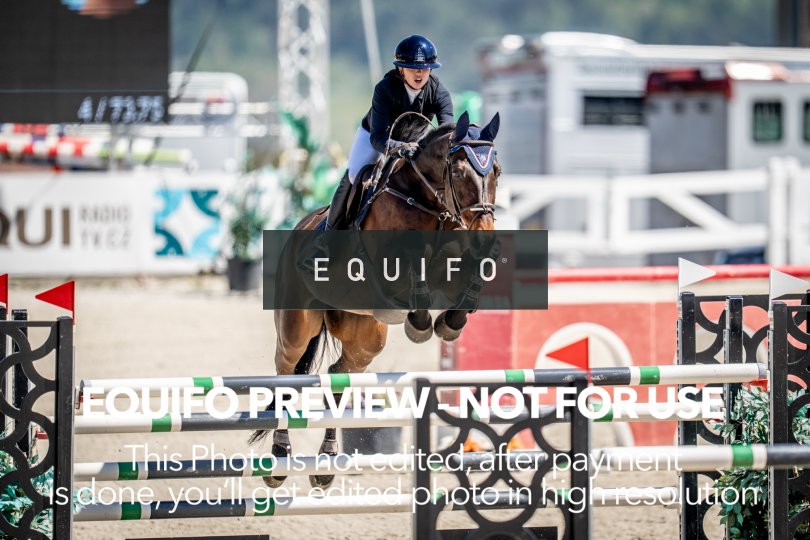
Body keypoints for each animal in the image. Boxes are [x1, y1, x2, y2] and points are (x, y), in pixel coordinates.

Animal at [250, 110, 501, 490]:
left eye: (497, 170)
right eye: (458, 173)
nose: (485, 234)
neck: (430, 204)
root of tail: (300, 227)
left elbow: (473, 273)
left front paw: (450, 322)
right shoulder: (392, 265)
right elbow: (415, 268)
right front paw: (420, 324)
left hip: (366, 338)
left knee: (338, 377)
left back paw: (325, 463)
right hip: (297, 328)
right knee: (287, 375)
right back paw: (280, 458)